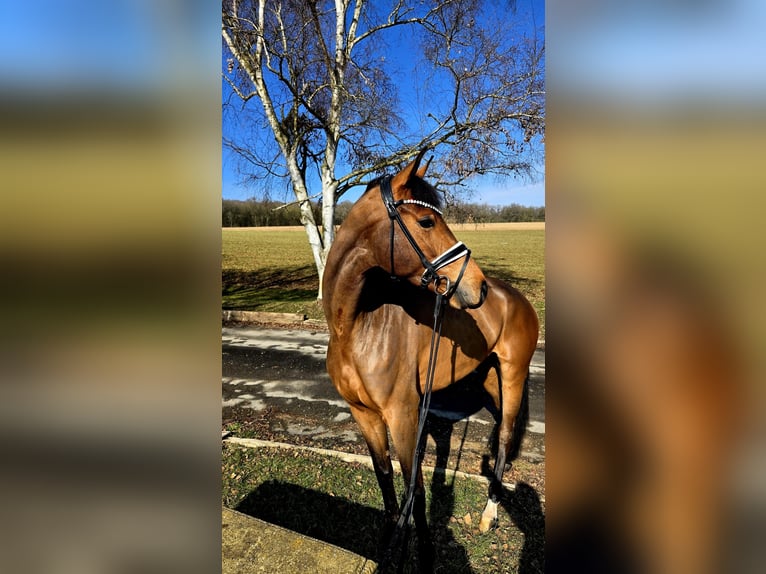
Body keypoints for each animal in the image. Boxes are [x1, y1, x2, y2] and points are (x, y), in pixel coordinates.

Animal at [322, 150, 540, 572]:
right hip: (491, 379)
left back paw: (489, 515)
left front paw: (422, 554)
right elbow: (385, 477)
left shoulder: (404, 416)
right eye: (426, 221)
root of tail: (516, 298)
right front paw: (389, 543)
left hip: (513, 375)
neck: (358, 327)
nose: (478, 287)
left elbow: (416, 489)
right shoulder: (364, 414)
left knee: (506, 438)